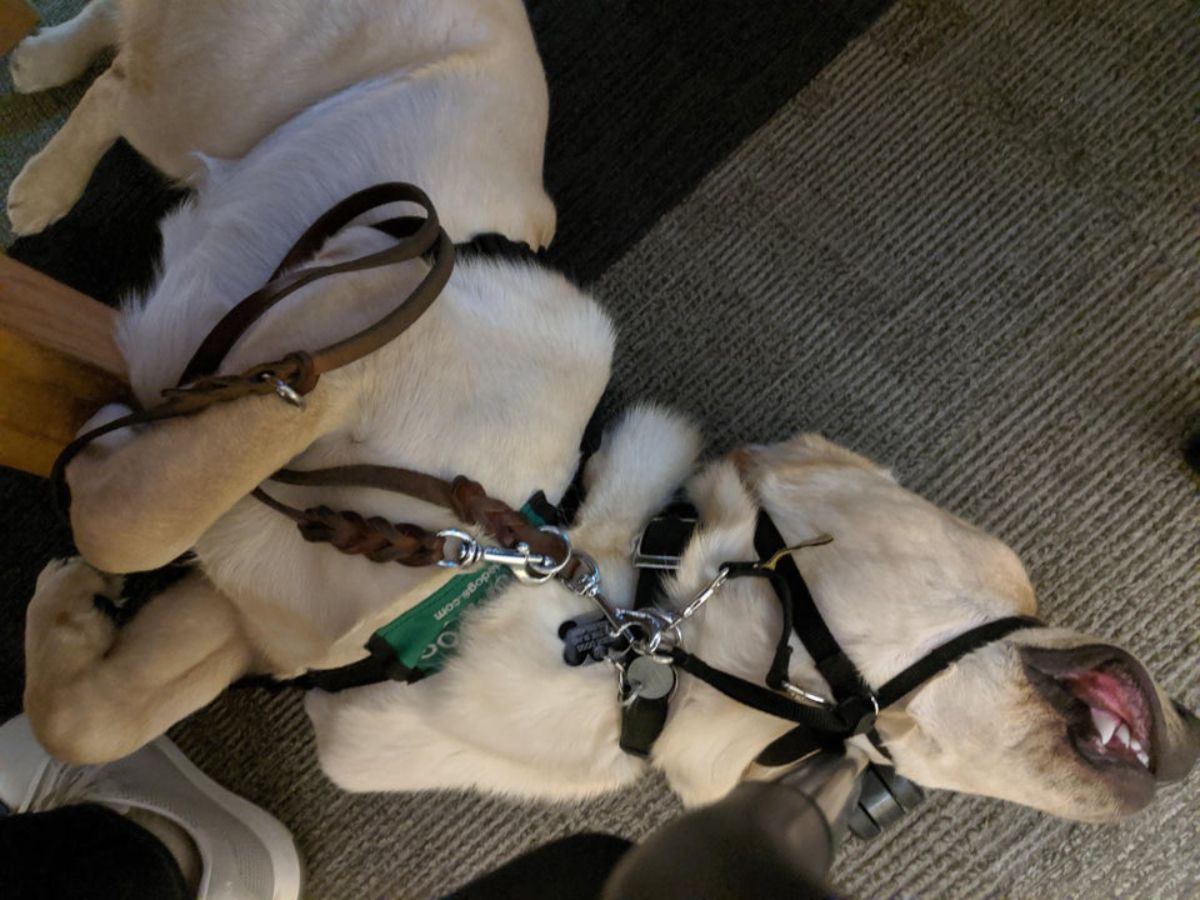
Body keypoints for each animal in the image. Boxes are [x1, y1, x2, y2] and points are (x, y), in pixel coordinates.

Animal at [11, 0, 1200, 830]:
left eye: (886, 768)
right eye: (1019, 583)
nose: (1182, 741)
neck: (610, 591)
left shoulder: (257, 617)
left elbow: (99, 691)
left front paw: (71, 607)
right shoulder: (365, 311)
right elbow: (152, 497)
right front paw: (107, 467)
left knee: (126, 55)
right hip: (218, 94)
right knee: (127, 71)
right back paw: (44, 161)